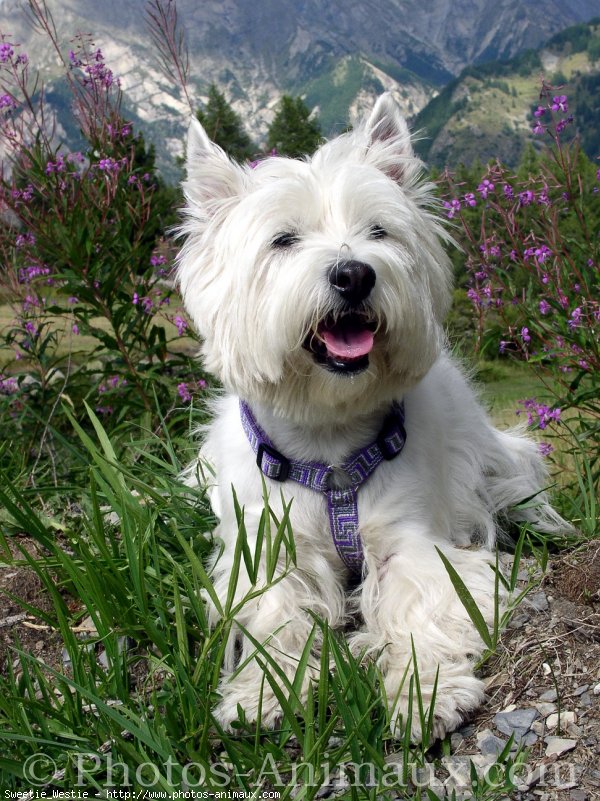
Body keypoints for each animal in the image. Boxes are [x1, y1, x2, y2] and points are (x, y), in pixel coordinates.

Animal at [176, 94, 564, 736]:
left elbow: (421, 605)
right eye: (283, 240)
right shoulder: (268, 550)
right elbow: (275, 619)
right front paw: (263, 695)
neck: (329, 445)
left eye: (378, 231)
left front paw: (426, 693)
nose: (354, 272)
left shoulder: (413, 540)